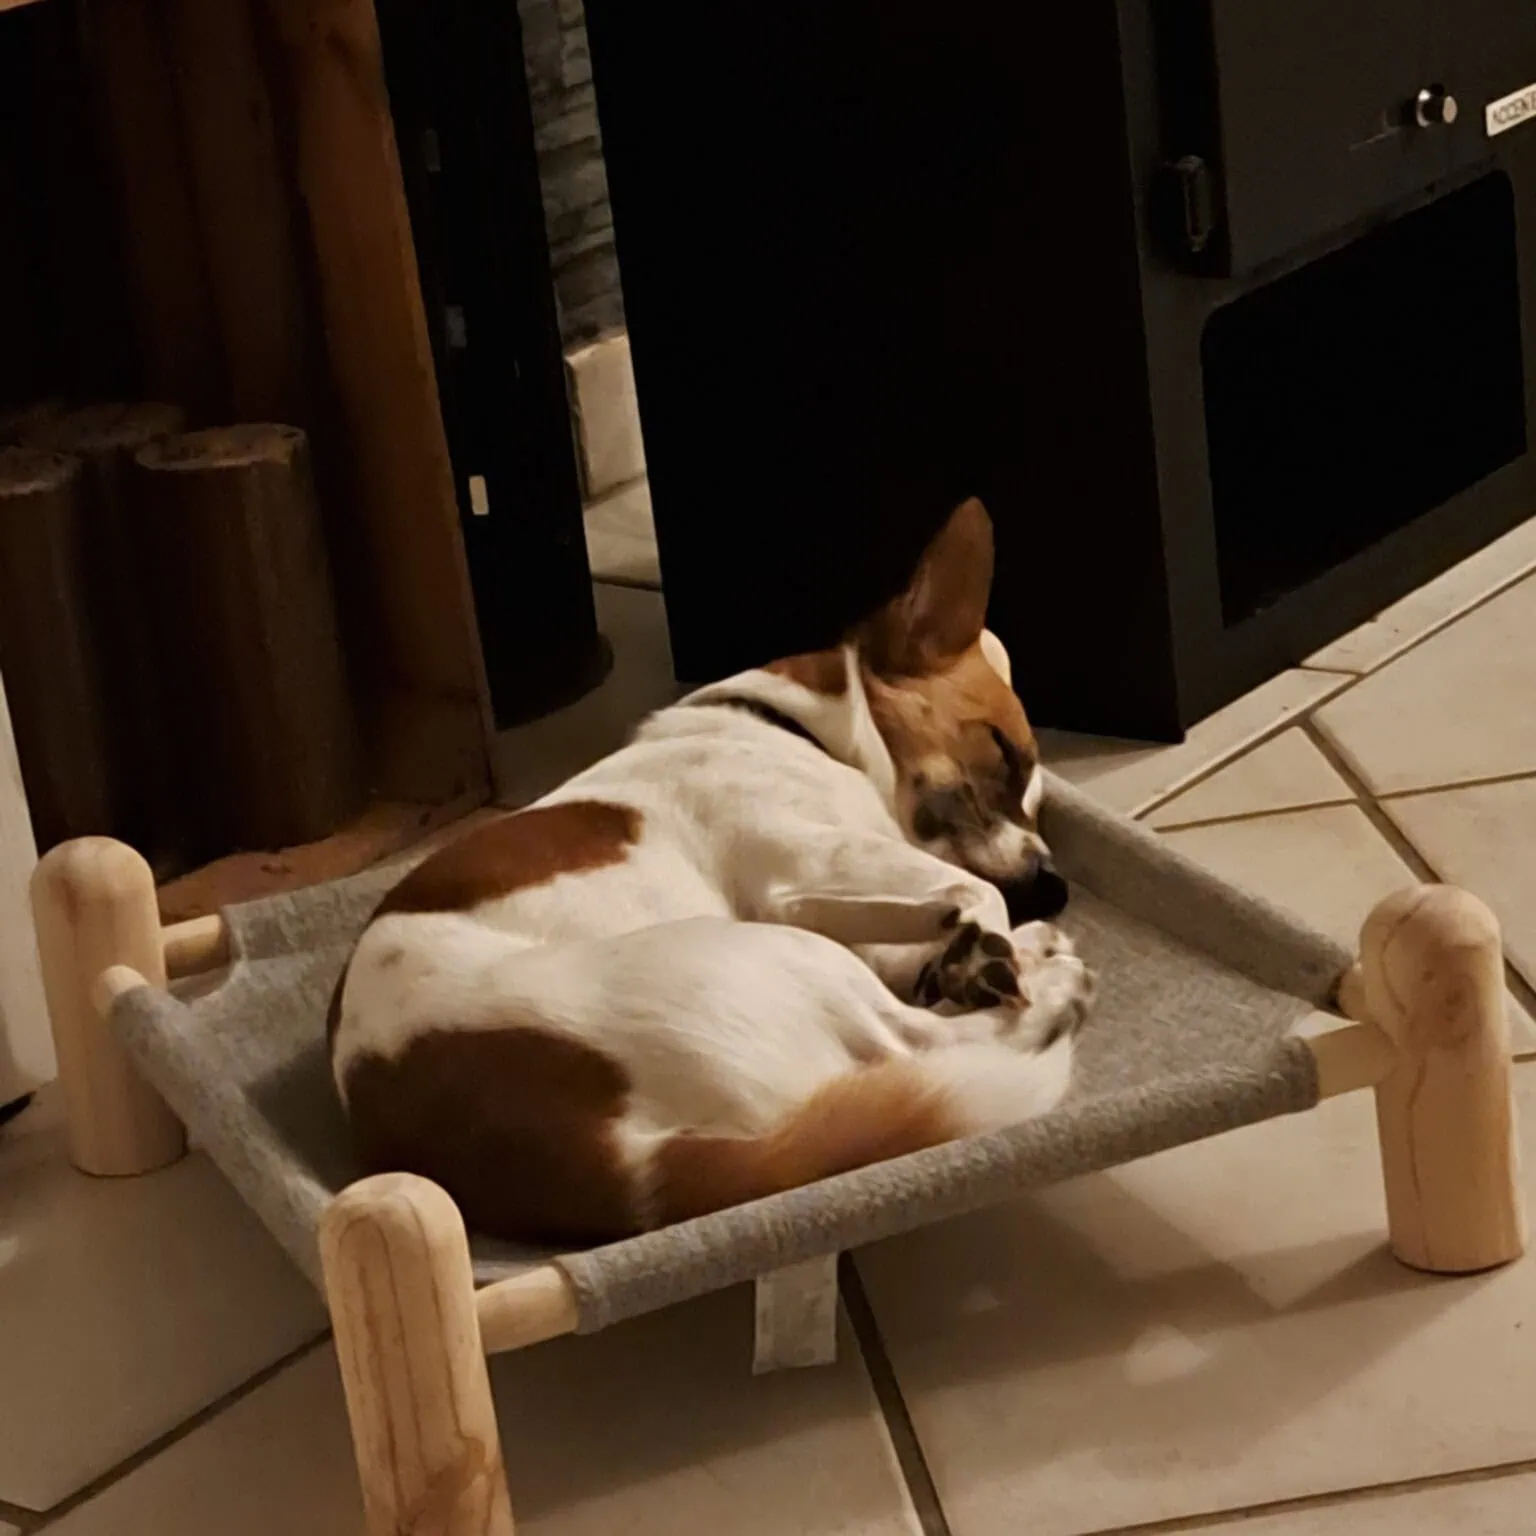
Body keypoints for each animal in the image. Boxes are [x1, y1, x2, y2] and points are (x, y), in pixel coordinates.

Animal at [329, 497, 1094, 1245]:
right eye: (1002, 752)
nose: (1054, 888)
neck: (796, 728)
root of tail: (618, 1169)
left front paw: (979, 954)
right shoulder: (808, 865)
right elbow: (978, 894)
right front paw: (990, 956)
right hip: (787, 954)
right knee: (916, 1041)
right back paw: (1049, 990)